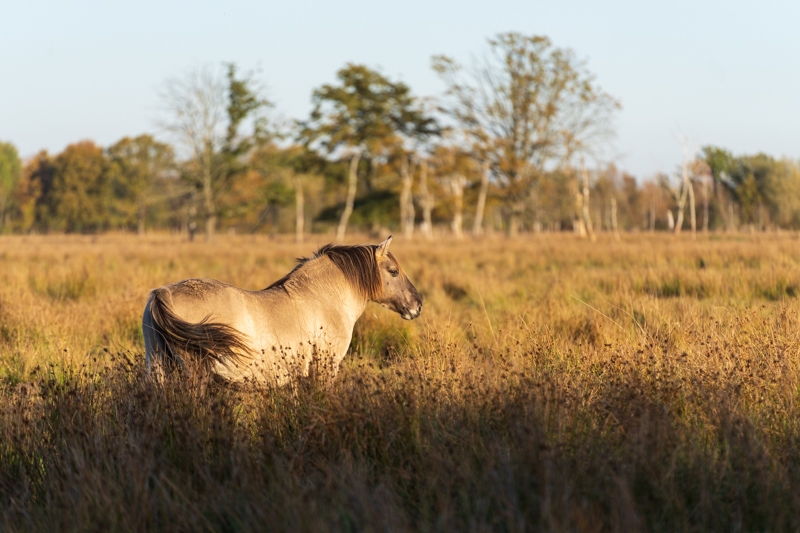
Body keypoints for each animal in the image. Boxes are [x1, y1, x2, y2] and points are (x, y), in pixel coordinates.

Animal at [141, 235, 422, 384]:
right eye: (393, 271)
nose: (417, 305)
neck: (323, 297)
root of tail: (163, 292)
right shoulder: (326, 368)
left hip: (158, 368)